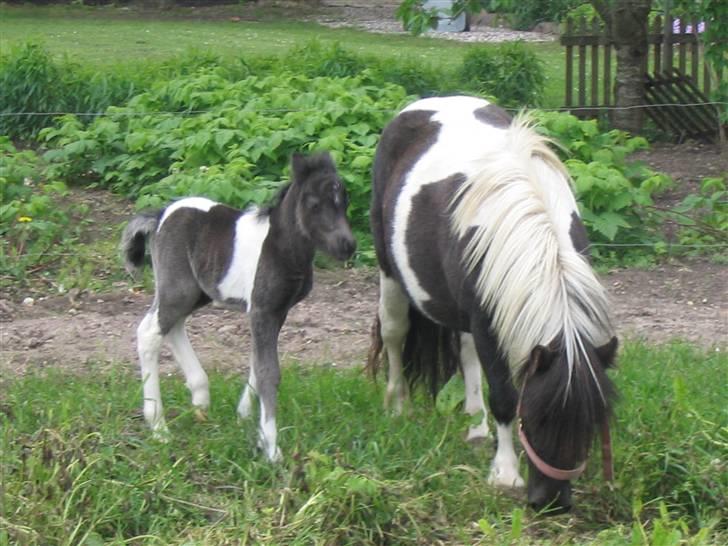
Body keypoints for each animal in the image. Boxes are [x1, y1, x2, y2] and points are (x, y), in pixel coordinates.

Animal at [121, 152, 356, 460]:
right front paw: (271, 448)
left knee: (173, 327)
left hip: (197, 292)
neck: (282, 247)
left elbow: (257, 362)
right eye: (314, 203)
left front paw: (245, 418)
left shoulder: (277, 312)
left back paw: (200, 398)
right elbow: (269, 371)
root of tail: (161, 215)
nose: (347, 245)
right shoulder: (262, 310)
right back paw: (159, 427)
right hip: (177, 287)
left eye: (345, 201)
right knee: (150, 332)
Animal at [366, 94, 616, 510]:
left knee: (467, 356)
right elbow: (503, 396)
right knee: (395, 335)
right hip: (391, 275)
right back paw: (398, 407)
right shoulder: (486, 323)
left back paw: (476, 427)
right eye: (536, 417)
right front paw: (505, 473)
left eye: (591, 423)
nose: (551, 502)